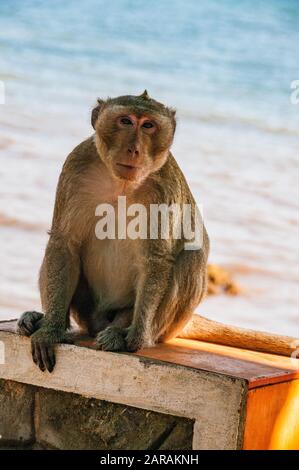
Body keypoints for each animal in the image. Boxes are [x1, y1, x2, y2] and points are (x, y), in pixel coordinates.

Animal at [17, 91, 298, 370]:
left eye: (148, 125)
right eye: (126, 121)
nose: (134, 149)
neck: (121, 184)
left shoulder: (164, 188)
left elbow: (157, 258)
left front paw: (135, 337)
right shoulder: (76, 165)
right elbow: (64, 243)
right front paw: (50, 330)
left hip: (167, 322)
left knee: (190, 256)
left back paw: (126, 331)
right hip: (89, 312)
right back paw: (41, 320)